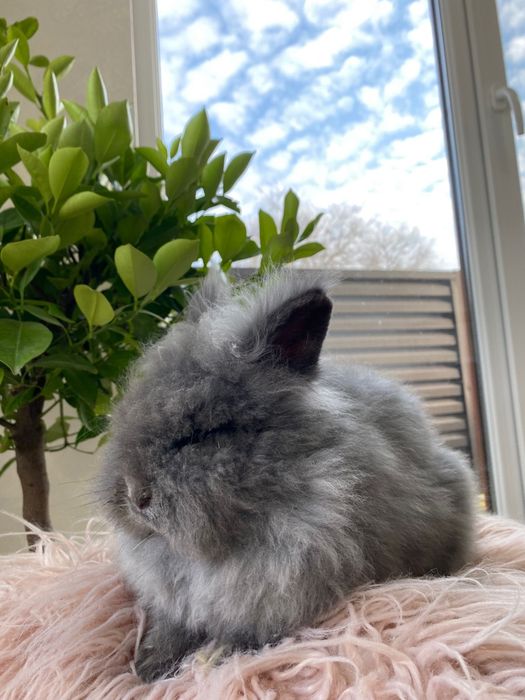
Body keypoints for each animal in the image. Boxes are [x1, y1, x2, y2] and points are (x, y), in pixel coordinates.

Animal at [98, 269, 476, 682]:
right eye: (124, 414)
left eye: (205, 434)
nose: (135, 495)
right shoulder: (175, 603)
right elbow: (169, 630)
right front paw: (147, 668)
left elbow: (246, 633)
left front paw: (211, 657)